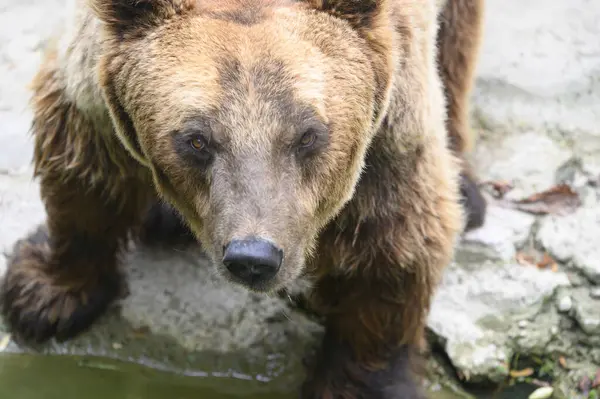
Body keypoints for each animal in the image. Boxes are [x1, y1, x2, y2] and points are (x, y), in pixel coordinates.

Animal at [2, 0, 486, 396]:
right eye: (197, 140)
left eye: (308, 135)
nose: (254, 257)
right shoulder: (95, 76)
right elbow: (82, 160)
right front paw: (45, 295)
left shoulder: (387, 123)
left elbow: (392, 242)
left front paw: (357, 384)